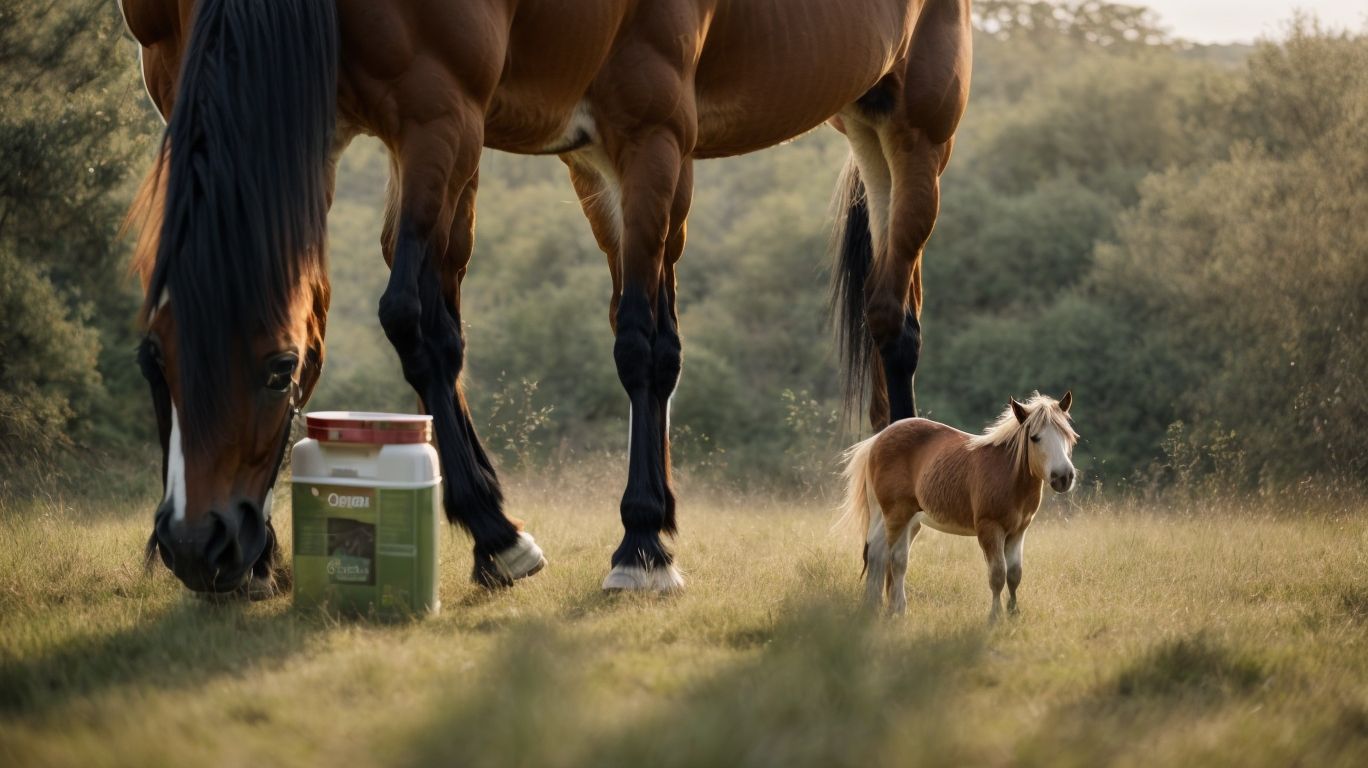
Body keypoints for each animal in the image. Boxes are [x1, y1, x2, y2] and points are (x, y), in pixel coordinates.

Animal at [120, 0, 973, 594]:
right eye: (153, 364)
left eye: (278, 370)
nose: (199, 546)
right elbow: (438, 324)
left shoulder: (468, 118)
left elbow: (443, 321)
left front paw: (618, 546)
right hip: (842, 126)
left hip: (914, 133)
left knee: (893, 322)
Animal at [838, 392, 1077, 618]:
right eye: (1035, 438)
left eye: (1068, 436)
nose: (1064, 476)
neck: (1008, 475)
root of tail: (878, 439)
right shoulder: (990, 529)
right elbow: (997, 575)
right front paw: (995, 616)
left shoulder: (1018, 531)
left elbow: (1014, 575)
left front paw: (1013, 613)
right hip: (897, 516)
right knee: (895, 560)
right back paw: (895, 610)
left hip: (894, 517)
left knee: (879, 555)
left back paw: (878, 606)